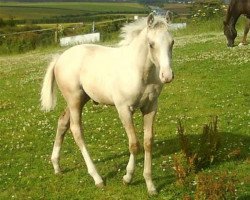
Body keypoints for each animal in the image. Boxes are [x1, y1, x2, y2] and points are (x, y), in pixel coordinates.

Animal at [40, 12, 174, 195]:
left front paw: (151, 185)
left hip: (81, 99)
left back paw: (56, 166)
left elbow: (148, 143)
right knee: (76, 130)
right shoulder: (124, 109)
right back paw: (97, 178)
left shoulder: (150, 107)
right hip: (74, 100)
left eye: (172, 42)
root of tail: (60, 58)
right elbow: (134, 144)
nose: (167, 76)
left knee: (62, 122)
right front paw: (127, 178)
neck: (139, 71)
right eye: (151, 44)